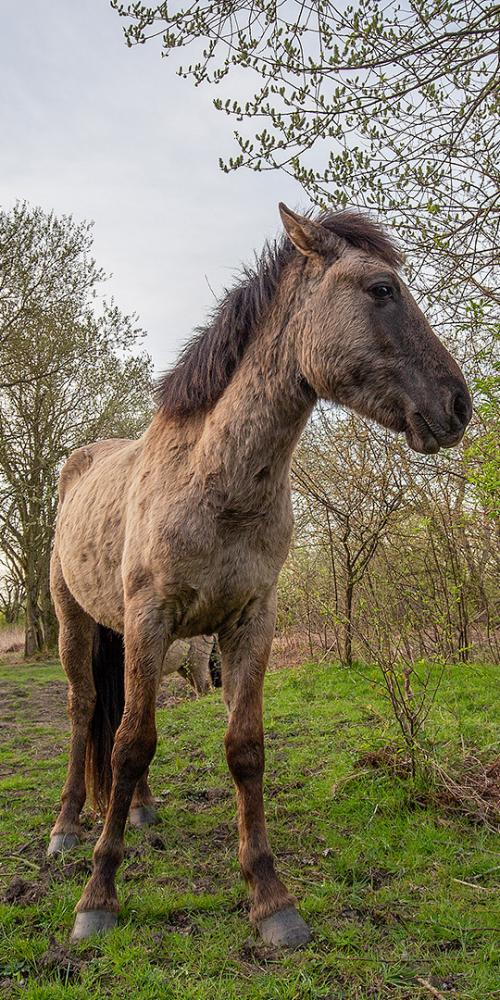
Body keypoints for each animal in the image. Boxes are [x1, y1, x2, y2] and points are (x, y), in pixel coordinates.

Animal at [48, 203, 470, 944]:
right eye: (382, 289)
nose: (458, 405)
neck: (214, 480)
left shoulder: (250, 621)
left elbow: (242, 749)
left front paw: (271, 899)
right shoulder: (152, 617)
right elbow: (129, 744)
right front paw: (98, 897)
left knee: (122, 716)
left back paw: (139, 811)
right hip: (77, 623)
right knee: (87, 711)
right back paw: (68, 829)